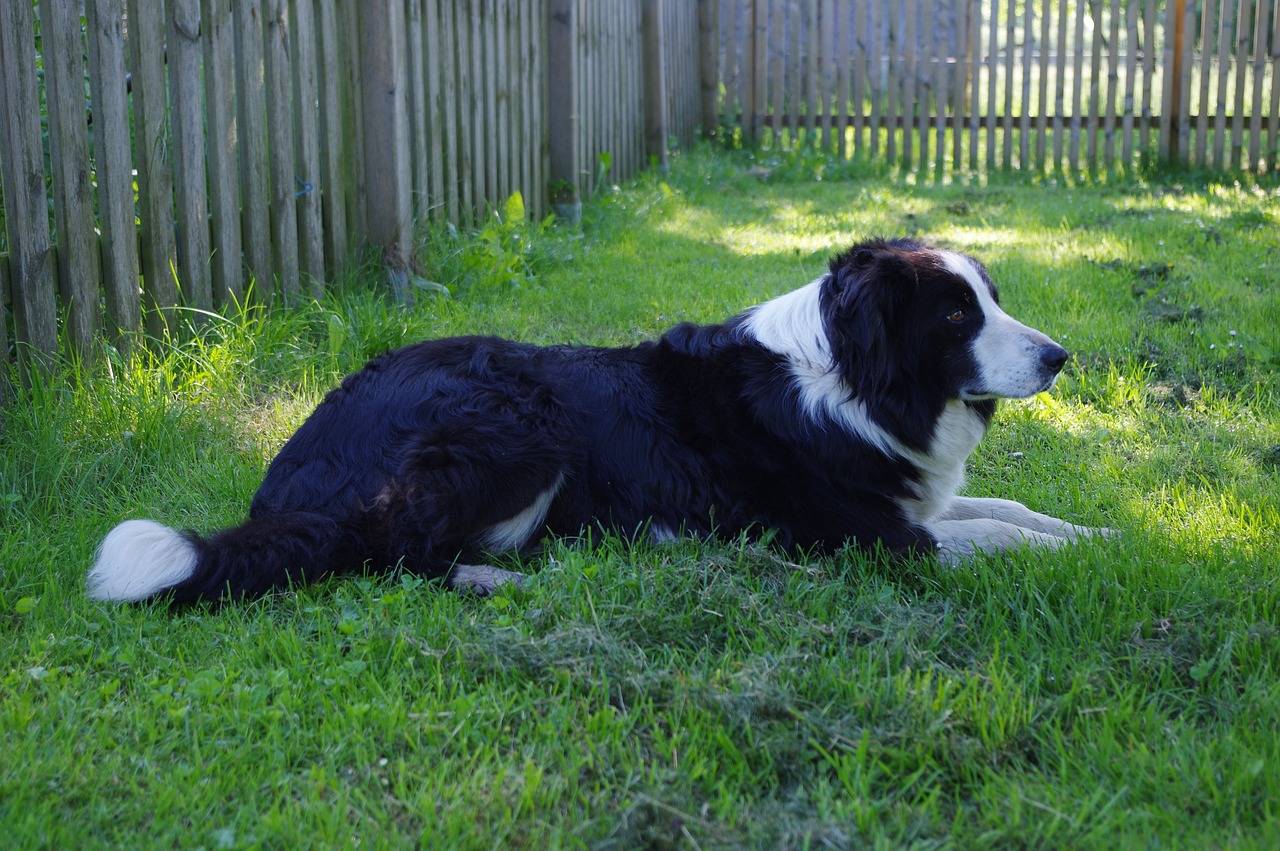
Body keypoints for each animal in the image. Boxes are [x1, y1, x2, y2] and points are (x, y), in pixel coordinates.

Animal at [87, 235, 1111, 601]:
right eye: (955, 316)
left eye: (992, 297)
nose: (1060, 355)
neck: (855, 380)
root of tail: (291, 474)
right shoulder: (866, 534)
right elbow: (995, 538)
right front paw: (1090, 550)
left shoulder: (912, 497)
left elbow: (1012, 512)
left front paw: (1104, 531)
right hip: (516, 417)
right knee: (385, 549)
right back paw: (490, 579)